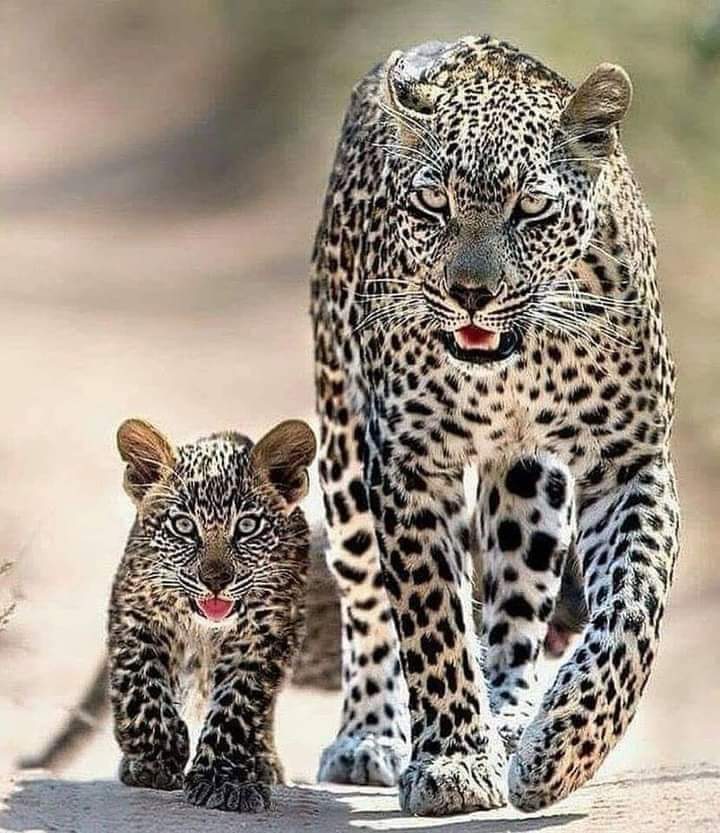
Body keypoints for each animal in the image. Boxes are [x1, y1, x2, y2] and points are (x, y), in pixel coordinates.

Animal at [108, 417, 316, 813]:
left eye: (247, 527)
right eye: (184, 526)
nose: (216, 580)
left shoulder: (260, 637)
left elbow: (237, 706)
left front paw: (222, 781)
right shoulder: (136, 615)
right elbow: (139, 682)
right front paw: (159, 755)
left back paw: (261, 763)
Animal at [311, 35, 679, 816]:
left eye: (531, 208)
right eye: (433, 202)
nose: (470, 294)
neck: (517, 363)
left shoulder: (630, 464)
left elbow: (633, 611)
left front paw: (562, 750)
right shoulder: (411, 465)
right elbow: (430, 619)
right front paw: (452, 760)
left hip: (532, 482)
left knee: (515, 604)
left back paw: (511, 717)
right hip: (343, 449)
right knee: (366, 599)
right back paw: (369, 735)